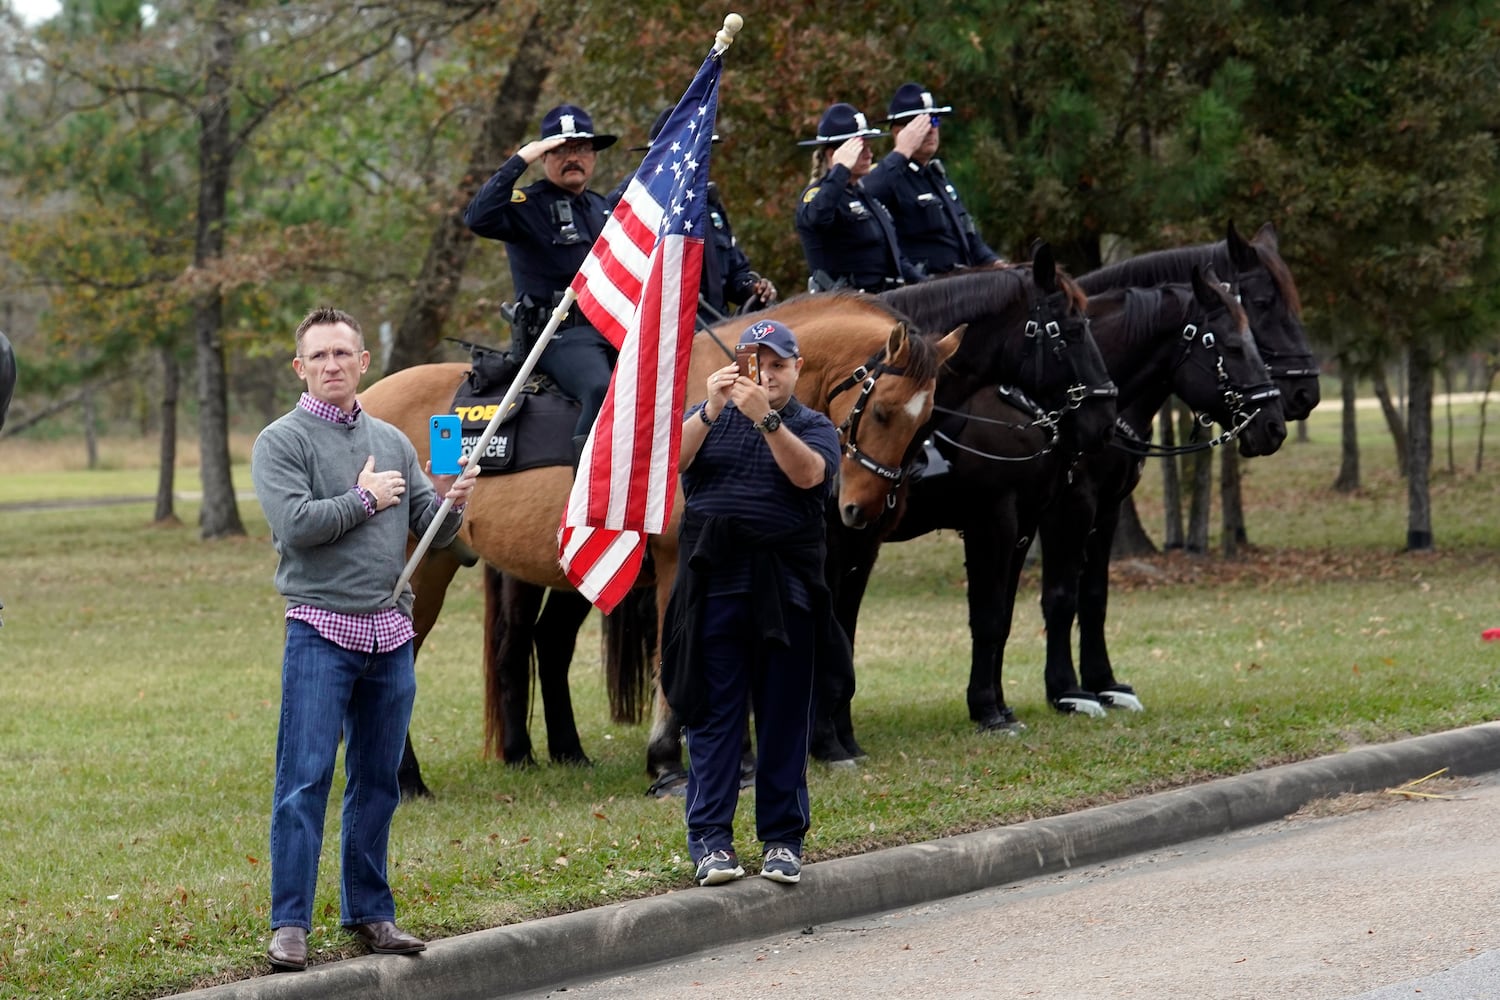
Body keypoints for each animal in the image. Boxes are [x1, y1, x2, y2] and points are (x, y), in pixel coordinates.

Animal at [358, 290, 960, 797]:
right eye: (881, 410)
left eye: (924, 423)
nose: (863, 511)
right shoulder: (679, 563)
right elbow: (674, 659)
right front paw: (668, 761)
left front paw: (737, 761)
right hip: (419, 571)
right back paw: (406, 780)